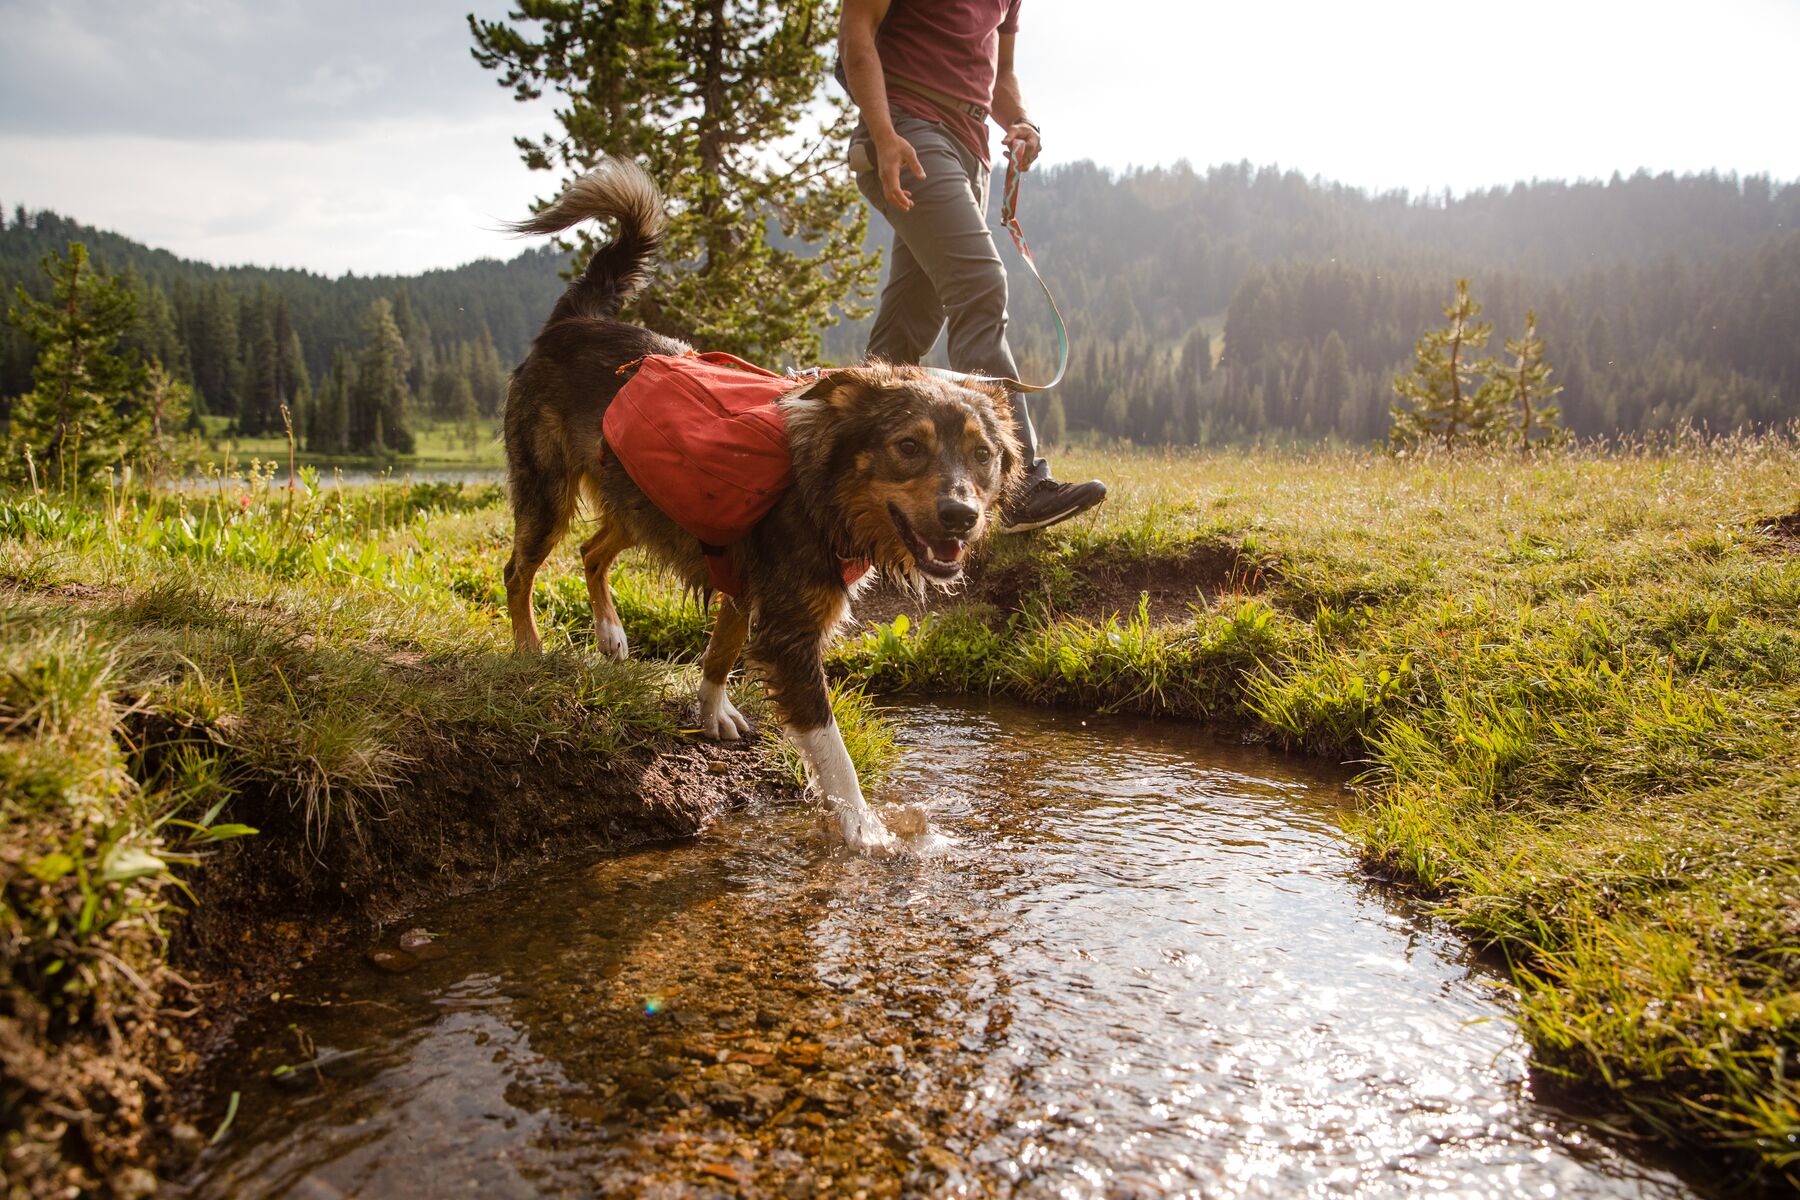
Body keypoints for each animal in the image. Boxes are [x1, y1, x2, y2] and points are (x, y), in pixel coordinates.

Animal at [500, 159, 1022, 852]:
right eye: (909, 447)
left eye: (983, 455)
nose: (962, 517)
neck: (820, 489)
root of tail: (569, 323)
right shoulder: (790, 632)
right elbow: (833, 751)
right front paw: (868, 832)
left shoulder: (744, 581)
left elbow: (722, 647)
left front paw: (711, 709)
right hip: (548, 492)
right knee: (519, 570)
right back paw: (529, 650)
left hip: (641, 503)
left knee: (592, 549)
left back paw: (610, 633)